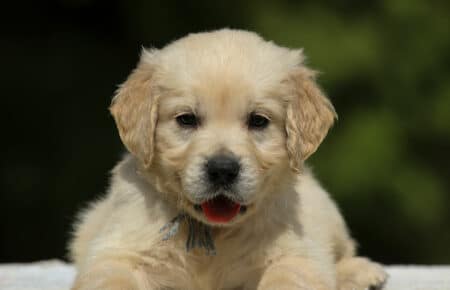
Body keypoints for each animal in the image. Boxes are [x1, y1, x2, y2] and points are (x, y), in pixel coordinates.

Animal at [69, 29, 386, 290]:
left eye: (258, 121)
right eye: (186, 119)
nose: (222, 170)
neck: (214, 232)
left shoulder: (298, 254)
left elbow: (290, 275)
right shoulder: (118, 251)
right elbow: (111, 276)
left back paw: (362, 273)